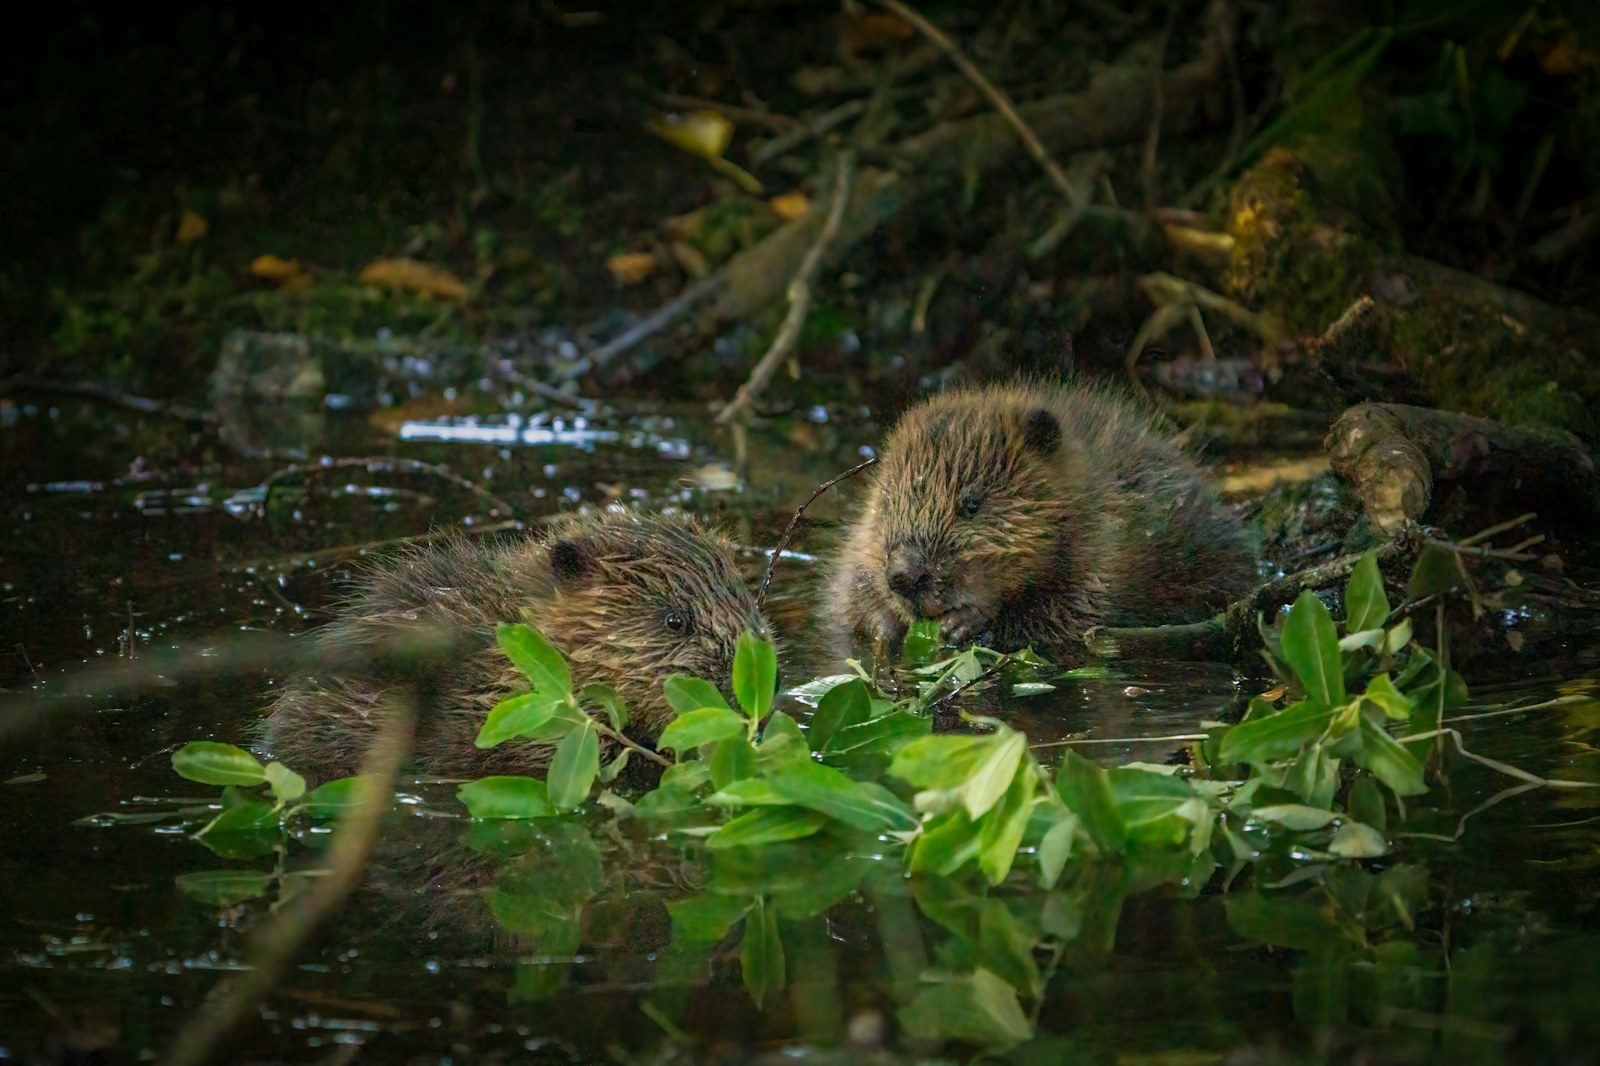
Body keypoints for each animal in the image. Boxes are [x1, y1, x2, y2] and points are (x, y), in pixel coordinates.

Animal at [825, 382, 1260, 656]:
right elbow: (850, 595)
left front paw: (965, 623)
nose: (904, 575)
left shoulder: (1106, 556)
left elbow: (1066, 618)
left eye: (972, 504)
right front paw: (887, 625)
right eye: (885, 502)